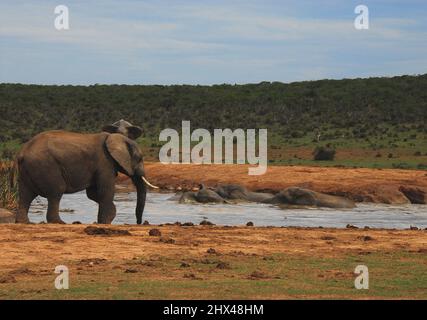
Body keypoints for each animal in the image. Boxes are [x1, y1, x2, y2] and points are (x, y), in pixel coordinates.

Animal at [15, 130, 160, 225]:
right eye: (140, 158)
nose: (139, 222)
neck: (113, 137)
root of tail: (22, 152)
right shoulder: (105, 162)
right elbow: (105, 190)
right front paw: (106, 221)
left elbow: (92, 193)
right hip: (46, 166)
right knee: (56, 192)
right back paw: (59, 222)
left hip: (28, 170)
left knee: (25, 195)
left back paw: (24, 223)